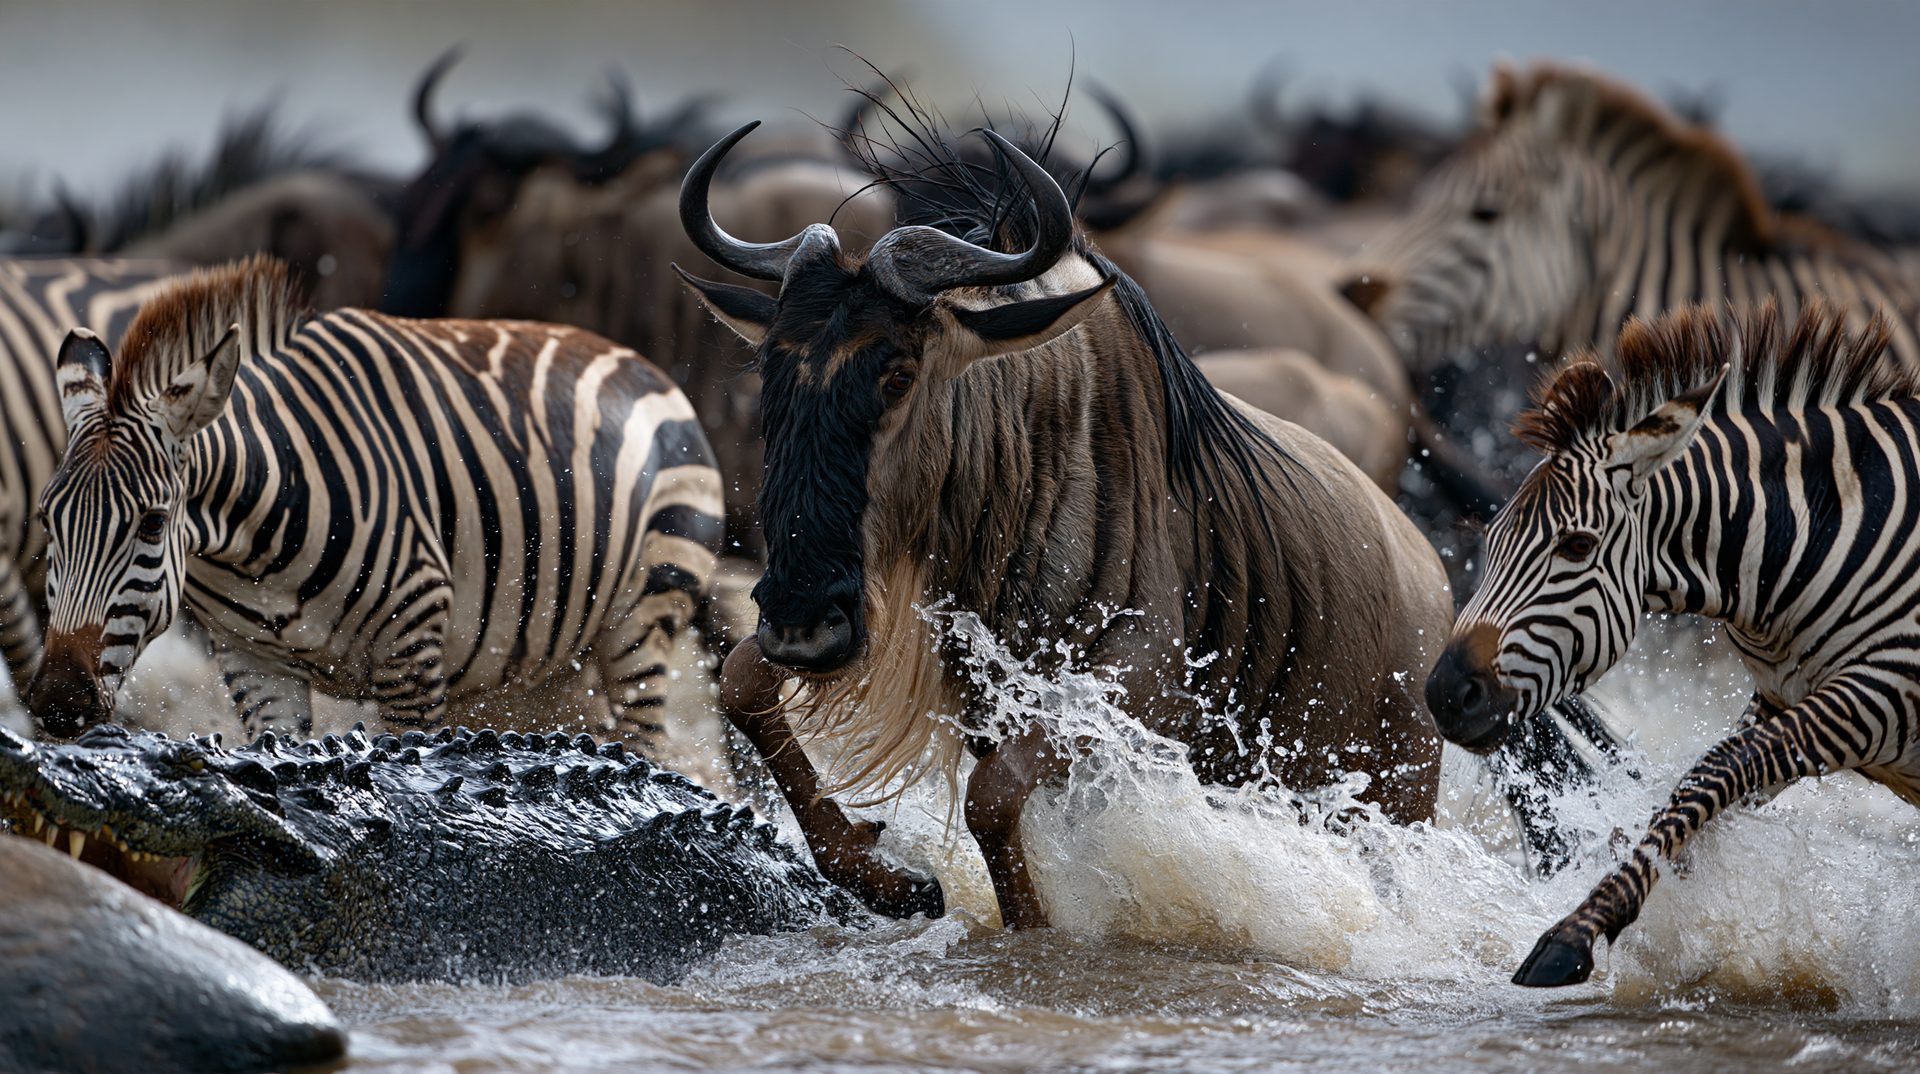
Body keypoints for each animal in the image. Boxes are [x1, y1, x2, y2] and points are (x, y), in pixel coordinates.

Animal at [27, 255, 724, 748]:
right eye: (47, 522)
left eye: (151, 524)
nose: (57, 701)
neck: (251, 543)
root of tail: (636, 360)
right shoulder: (253, 664)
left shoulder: (412, 652)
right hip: (545, 665)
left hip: (642, 617)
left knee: (648, 744)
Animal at [1424, 299, 1920, 987]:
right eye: (1490, 539)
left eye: (1576, 545)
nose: (1446, 693)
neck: (1825, 531)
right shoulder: (1783, 694)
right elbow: (1699, 793)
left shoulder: (1883, 692)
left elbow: (1719, 768)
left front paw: (1576, 931)